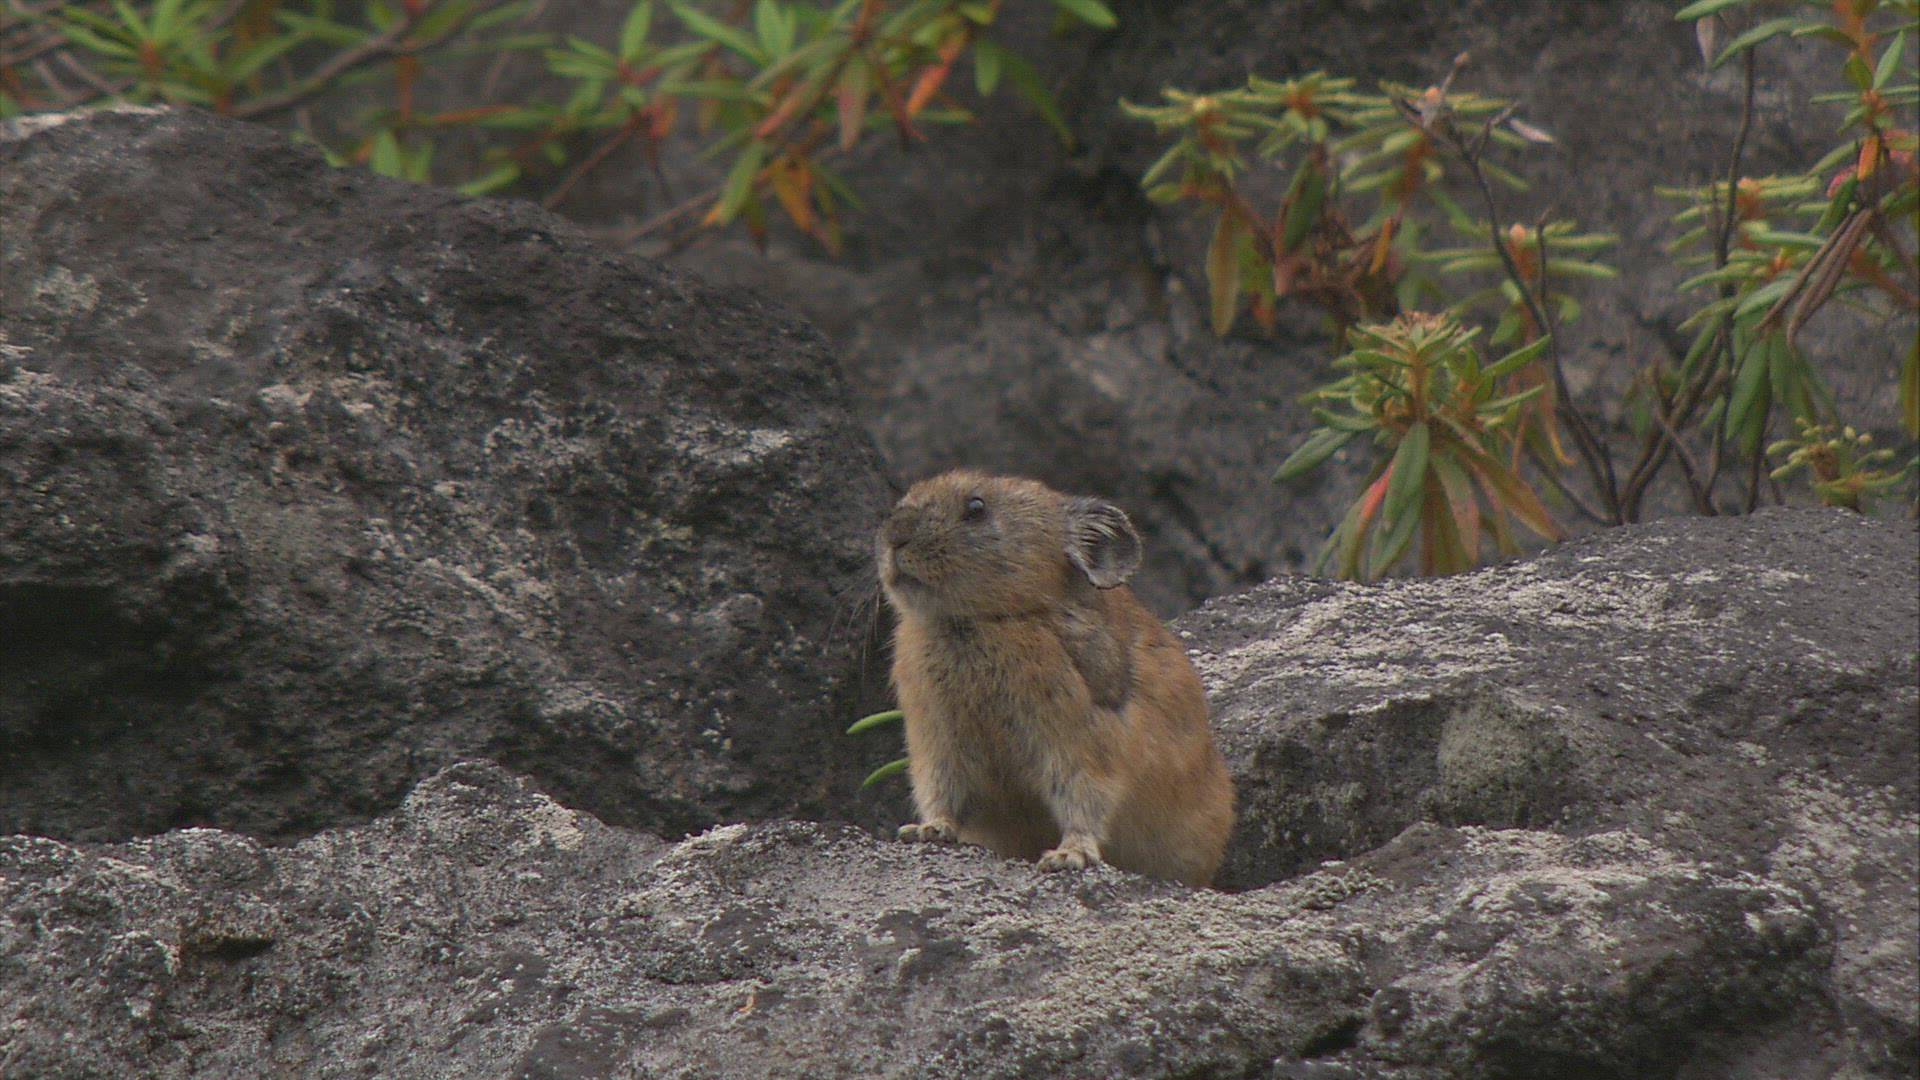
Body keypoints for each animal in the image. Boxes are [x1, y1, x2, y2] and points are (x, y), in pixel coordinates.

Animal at [877, 470, 1234, 888]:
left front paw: (1068, 855)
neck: (983, 621)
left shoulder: (1082, 740)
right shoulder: (936, 741)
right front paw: (924, 830)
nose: (895, 535)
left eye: (976, 508)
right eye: (906, 497)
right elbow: (942, 793)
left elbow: (1085, 798)